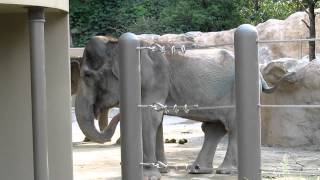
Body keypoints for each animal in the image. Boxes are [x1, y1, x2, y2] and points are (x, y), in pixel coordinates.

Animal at [75, 35, 290, 179]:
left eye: (87, 75)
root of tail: (261, 75)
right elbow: (156, 120)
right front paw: (161, 170)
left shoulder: (155, 81)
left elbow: (149, 117)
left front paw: (150, 175)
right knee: (214, 128)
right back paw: (198, 170)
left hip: (236, 93)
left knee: (232, 126)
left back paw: (225, 170)